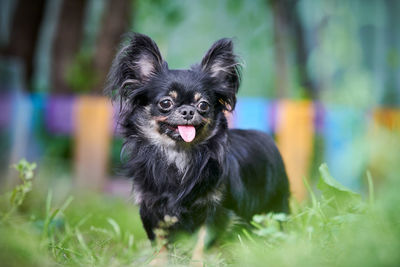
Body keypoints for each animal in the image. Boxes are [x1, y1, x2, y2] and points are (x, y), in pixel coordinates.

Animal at [104, 33, 290, 253]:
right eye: (165, 103)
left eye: (203, 105)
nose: (187, 110)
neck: (179, 154)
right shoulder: (152, 209)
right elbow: (161, 243)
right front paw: (158, 259)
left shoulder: (215, 209)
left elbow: (203, 240)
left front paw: (198, 259)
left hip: (275, 206)